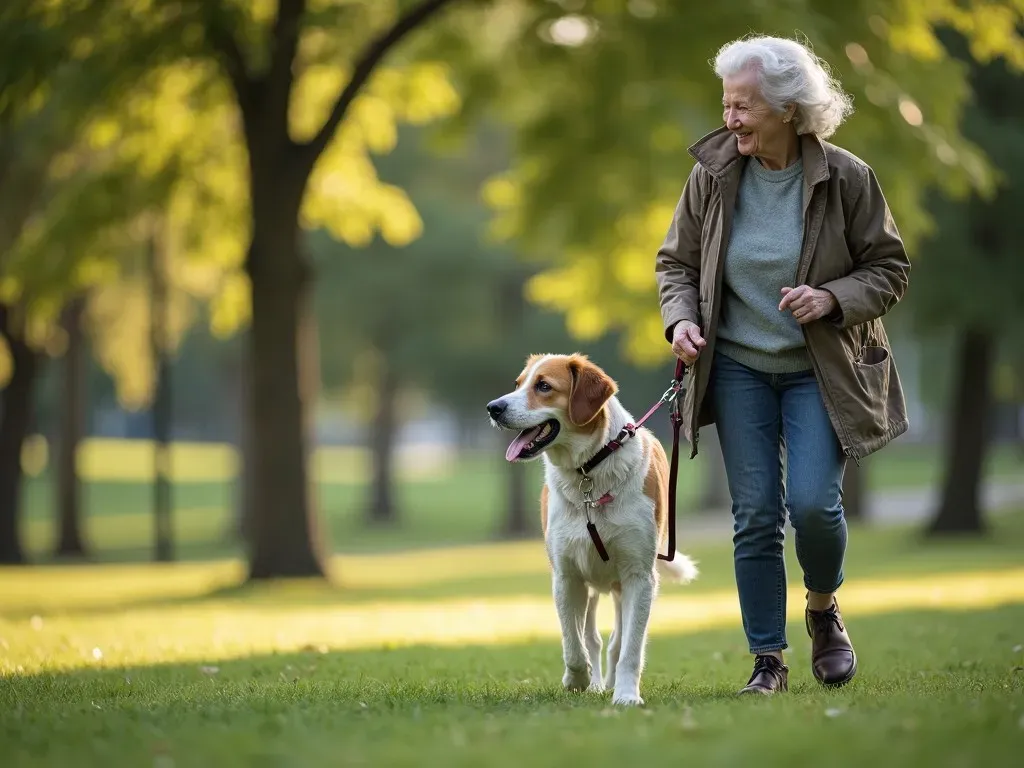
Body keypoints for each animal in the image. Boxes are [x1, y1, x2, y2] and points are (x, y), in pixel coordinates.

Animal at [485, 352, 696, 708]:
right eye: (518, 384)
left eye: (543, 386)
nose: (493, 407)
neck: (589, 471)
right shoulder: (566, 575)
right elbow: (573, 644)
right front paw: (577, 680)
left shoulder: (639, 576)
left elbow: (630, 648)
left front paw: (626, 695)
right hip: (591, 586)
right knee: (592, 638)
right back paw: (595, 682)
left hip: (622, 586)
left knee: (615, 641)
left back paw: (609, 682)